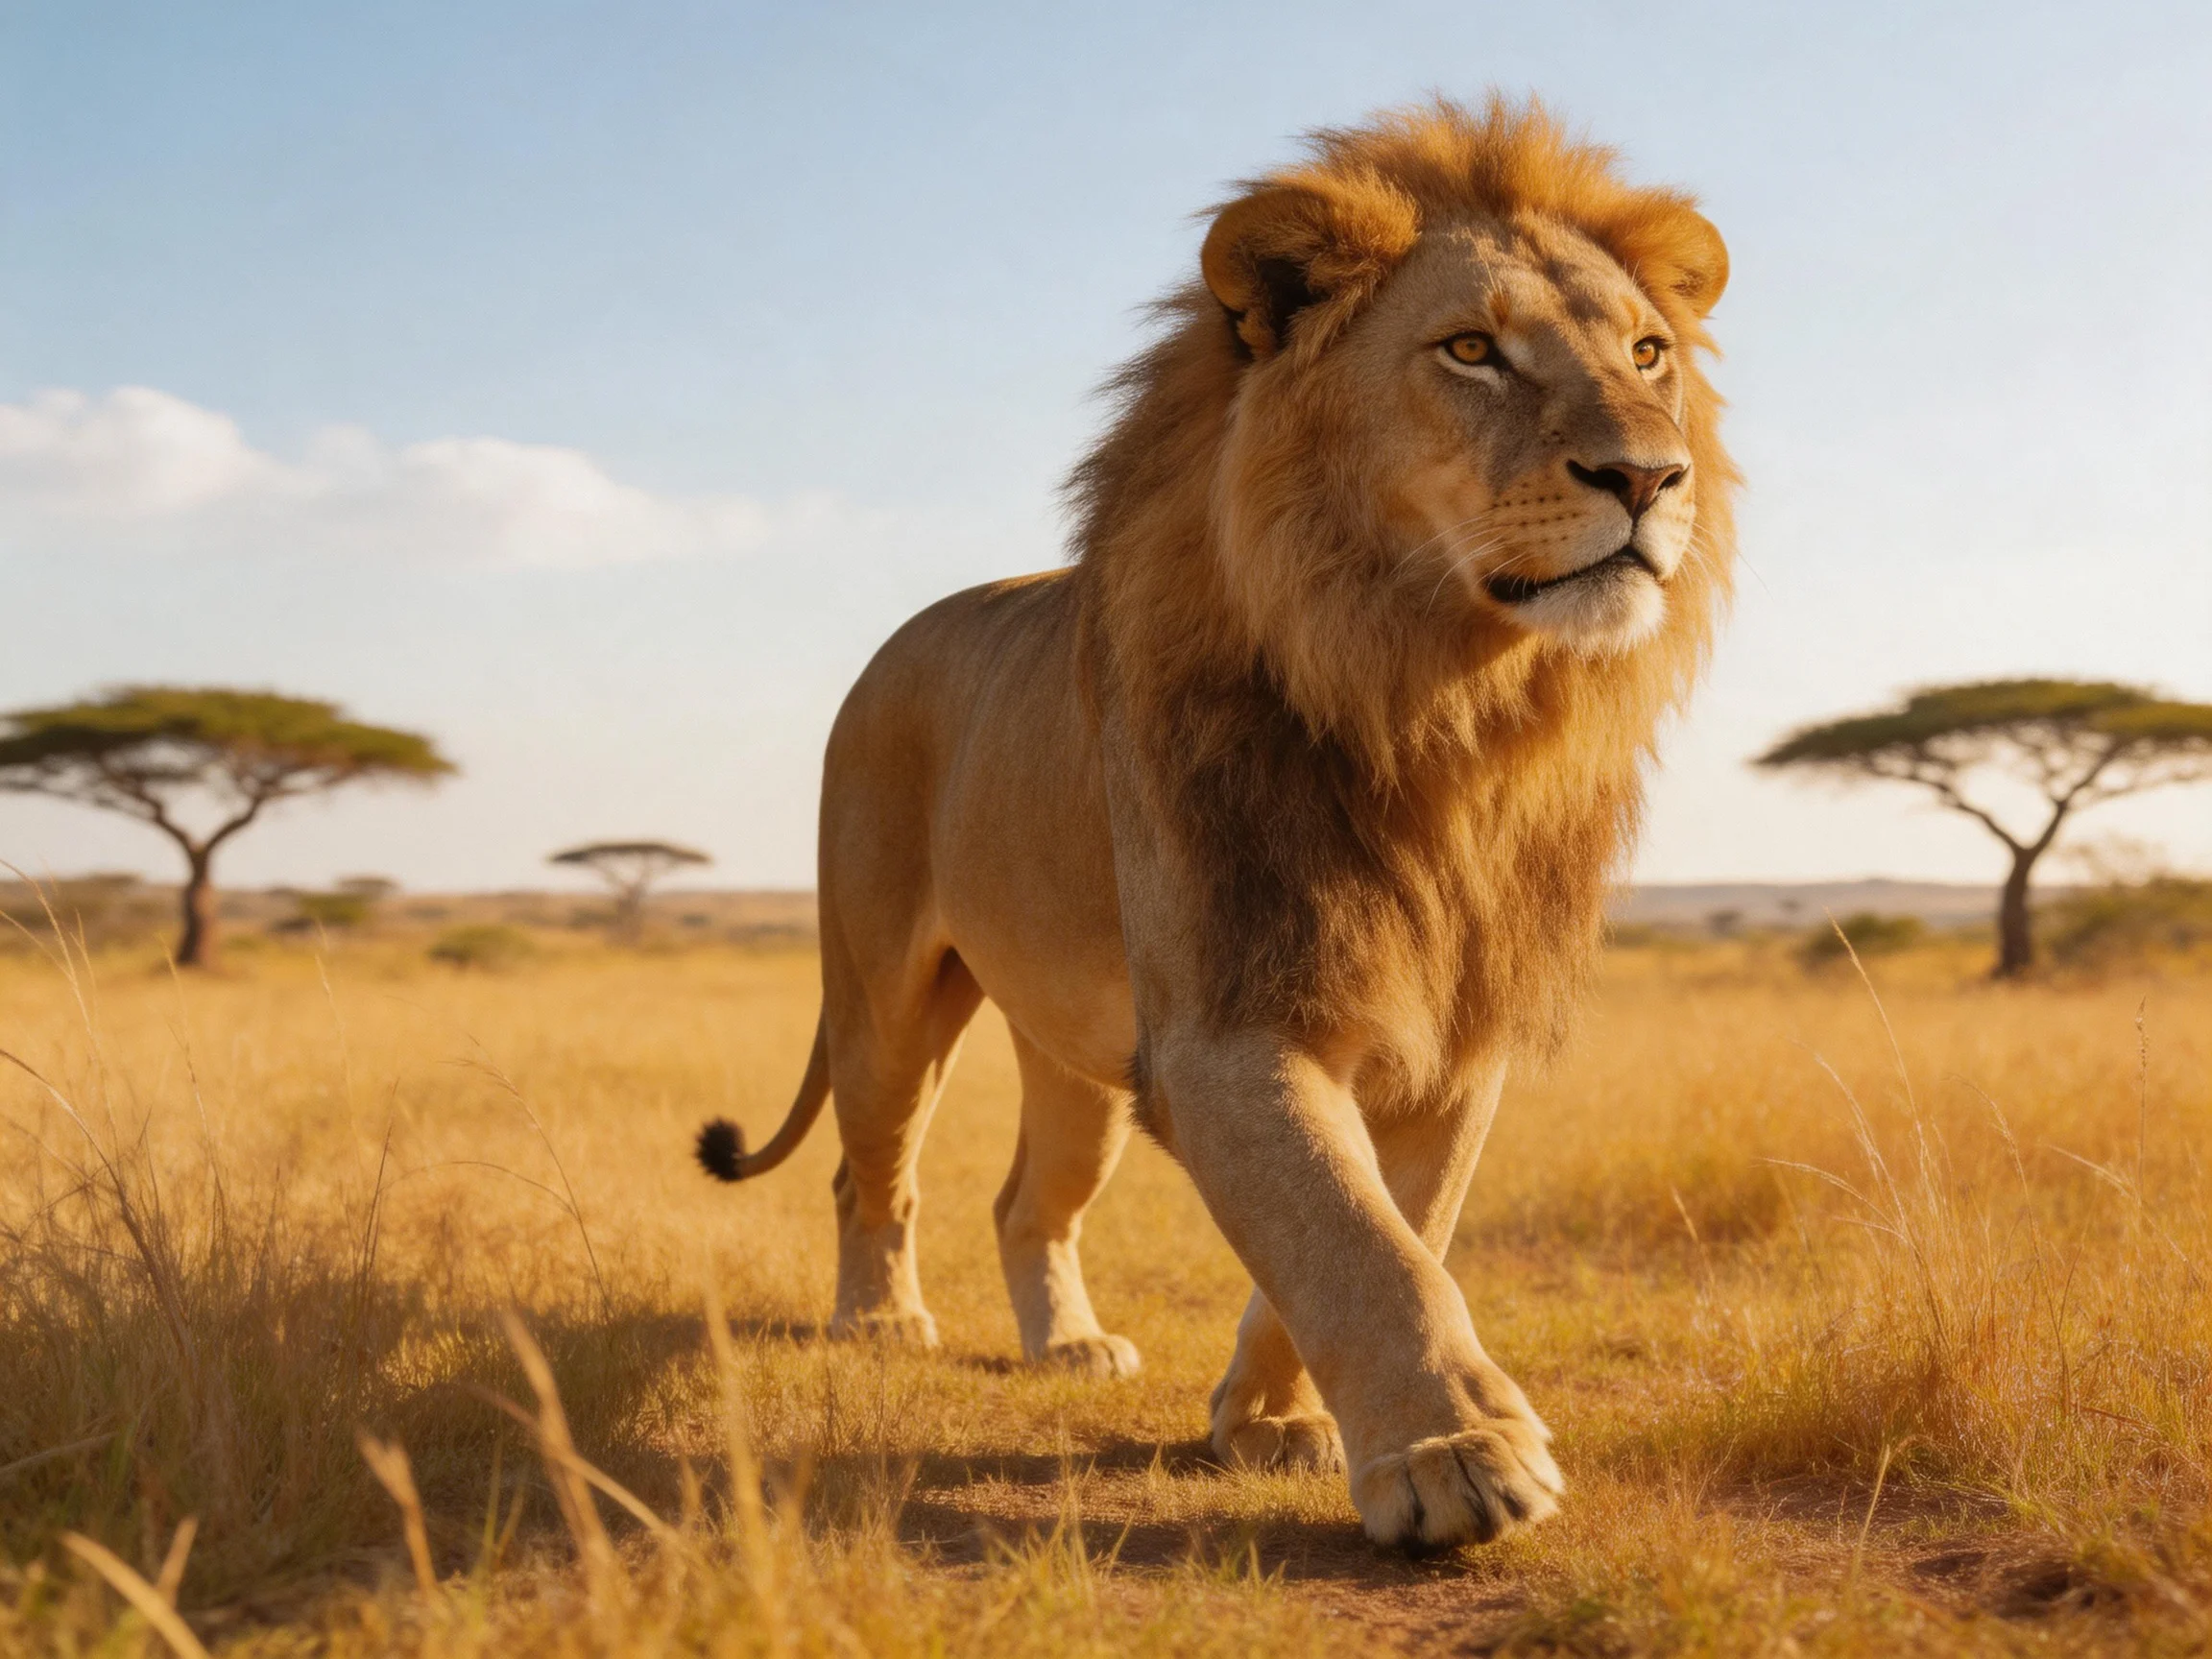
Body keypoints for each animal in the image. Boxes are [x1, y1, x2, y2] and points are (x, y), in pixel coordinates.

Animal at [694, 96, 1736, 1551]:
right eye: (1472, 351)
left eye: (1649, 353)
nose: (1651, 475)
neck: (1439, 707)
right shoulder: (1226, 1020)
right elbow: (1352, 1238)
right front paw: (1456, 1452)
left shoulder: (1452, 1036)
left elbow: (1393, 1223)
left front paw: (1273, 1421)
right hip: (884, 993)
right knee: (870, 1172)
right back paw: (882, 1322)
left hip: (1072, 1055)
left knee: (1028, 1199)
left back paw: (1068, 1346)